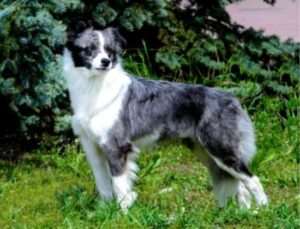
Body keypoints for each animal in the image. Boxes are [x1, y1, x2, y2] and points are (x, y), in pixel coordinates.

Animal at [62, 23, 268, 211]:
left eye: (109, 51)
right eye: (90, 49)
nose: (106, 62)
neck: (95, 86)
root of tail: (231, 98)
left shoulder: (117, 146)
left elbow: (120, 186)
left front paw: (123, 214)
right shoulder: (92, 148)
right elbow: (103, 184)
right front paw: (104, 213)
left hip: (219, 148)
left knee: (252, 179)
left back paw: (262, 210)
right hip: (206, 153)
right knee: (238, 184)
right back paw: (240, 214)